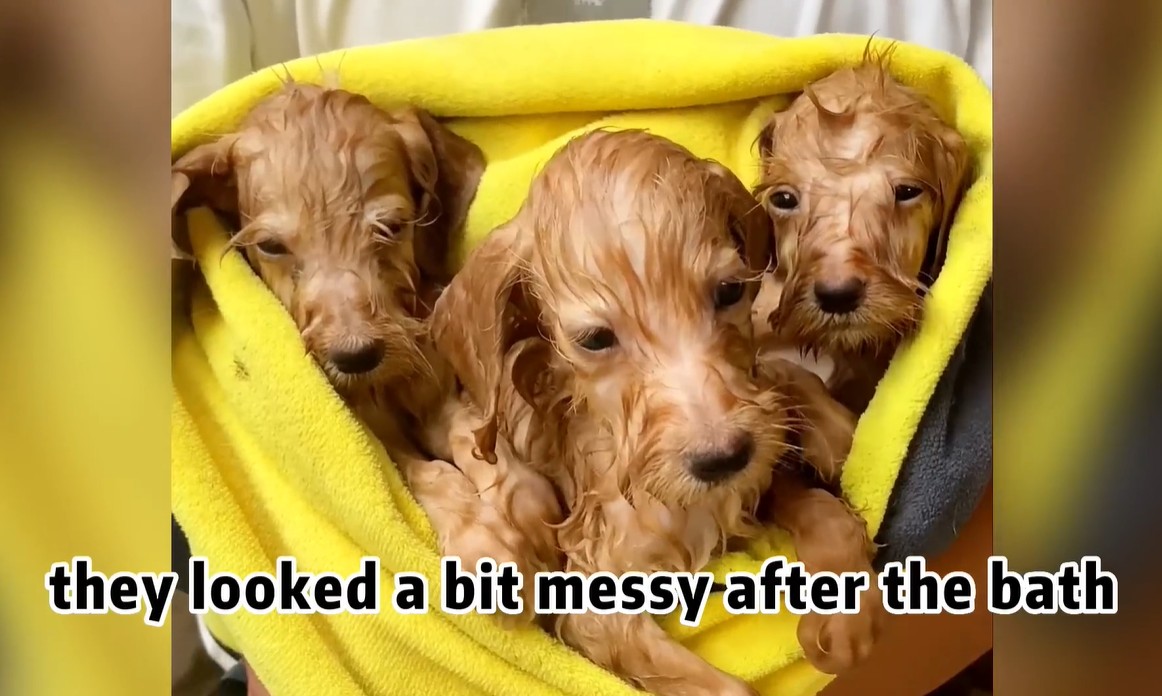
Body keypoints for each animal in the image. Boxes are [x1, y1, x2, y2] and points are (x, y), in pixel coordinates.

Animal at [170, 82, 563, 622]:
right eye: (271, 246)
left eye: (392, 227)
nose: (356, 357)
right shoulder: (370, 427)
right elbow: (415, 472)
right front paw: (481, 537)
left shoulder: (429, 378)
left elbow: (464, 430)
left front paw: (516, 492)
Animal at [431, 128, 877, 694]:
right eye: (595, 339)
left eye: (729, 291)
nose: (721, 457)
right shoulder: (595, 604)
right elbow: (726, 688)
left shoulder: (749, 473)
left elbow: (816, 493)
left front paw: (846, 620)